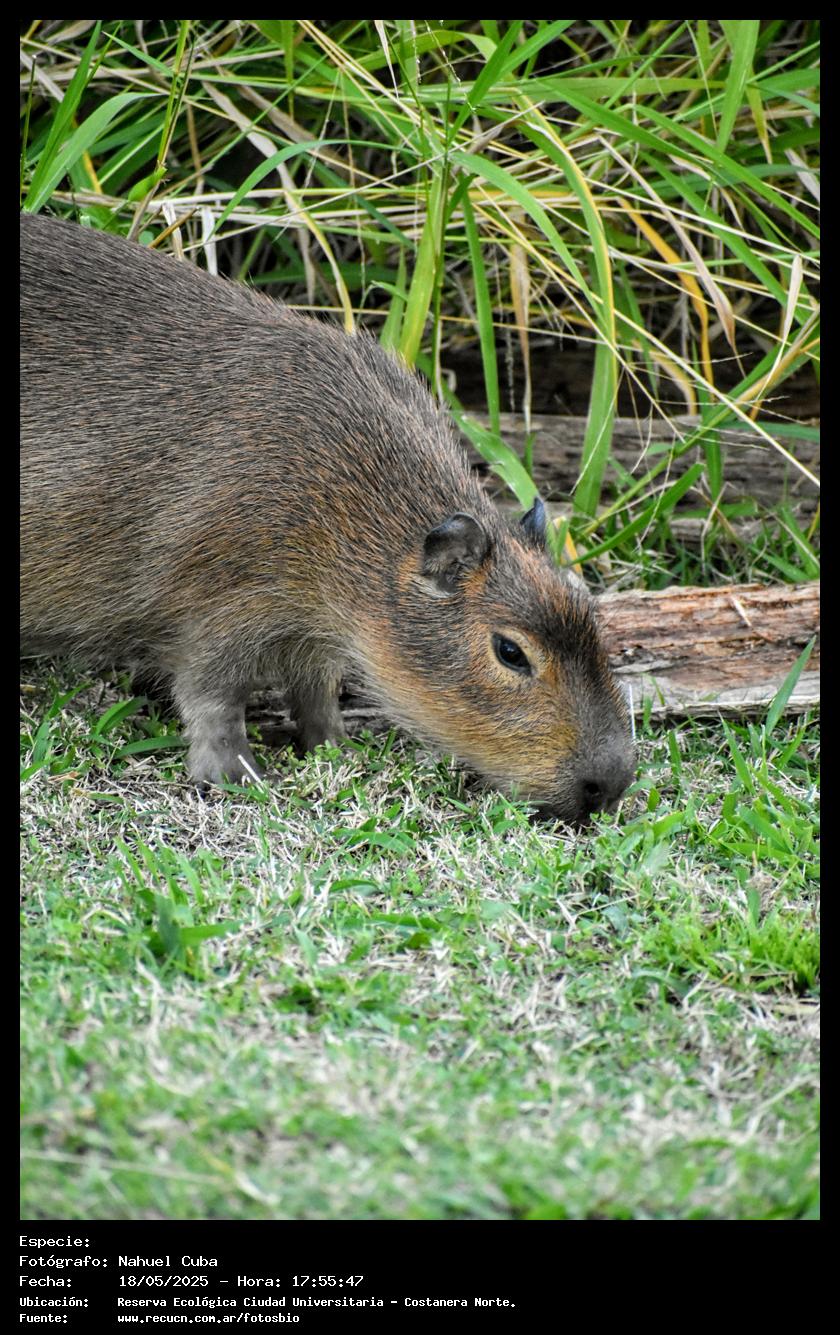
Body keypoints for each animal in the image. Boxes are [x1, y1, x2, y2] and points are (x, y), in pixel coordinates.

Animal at [20, 213, 635, 822]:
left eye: (589, 609)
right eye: (510, 652)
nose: (610, 785)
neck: (338, 497)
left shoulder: (309, 631)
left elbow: (315, 690)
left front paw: (338, 748)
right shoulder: (215, 610)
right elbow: (212, 697)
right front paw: (236, 775)